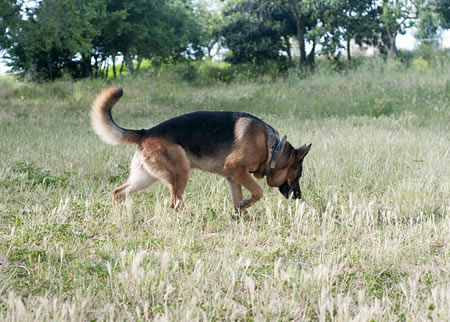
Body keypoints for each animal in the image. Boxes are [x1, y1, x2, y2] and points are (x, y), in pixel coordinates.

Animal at [89, 87, 312, 213]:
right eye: (297, 176)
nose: (299, 197)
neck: (272, 148)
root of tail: (146, 132)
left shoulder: (233, 177)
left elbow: (238, 201)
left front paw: (242, 215)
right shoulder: (235, 168)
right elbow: (258, 191)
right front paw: (246, 205)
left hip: (144, 178)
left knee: (118, 192)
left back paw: (118, 217)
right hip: (180, 172)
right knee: (174, 203)